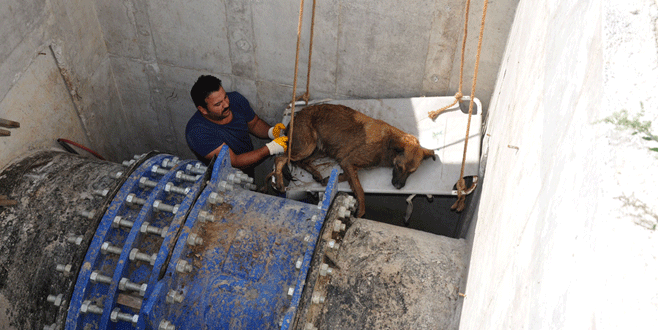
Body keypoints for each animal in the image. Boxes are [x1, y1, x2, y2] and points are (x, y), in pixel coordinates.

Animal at [270, 104, 434, 218]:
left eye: (412, 171)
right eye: (399, 167)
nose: (399, 187)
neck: (388, 143)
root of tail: (294, 118)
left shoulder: (347, 164)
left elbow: (346, 178)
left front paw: (328, 180)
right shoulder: (348, 162)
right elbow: (360, 190)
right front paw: (361, 211)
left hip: (320, 149)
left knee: (300, 161)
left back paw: (316, 174)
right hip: (308, 146)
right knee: (281, 158)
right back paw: (280, 182)